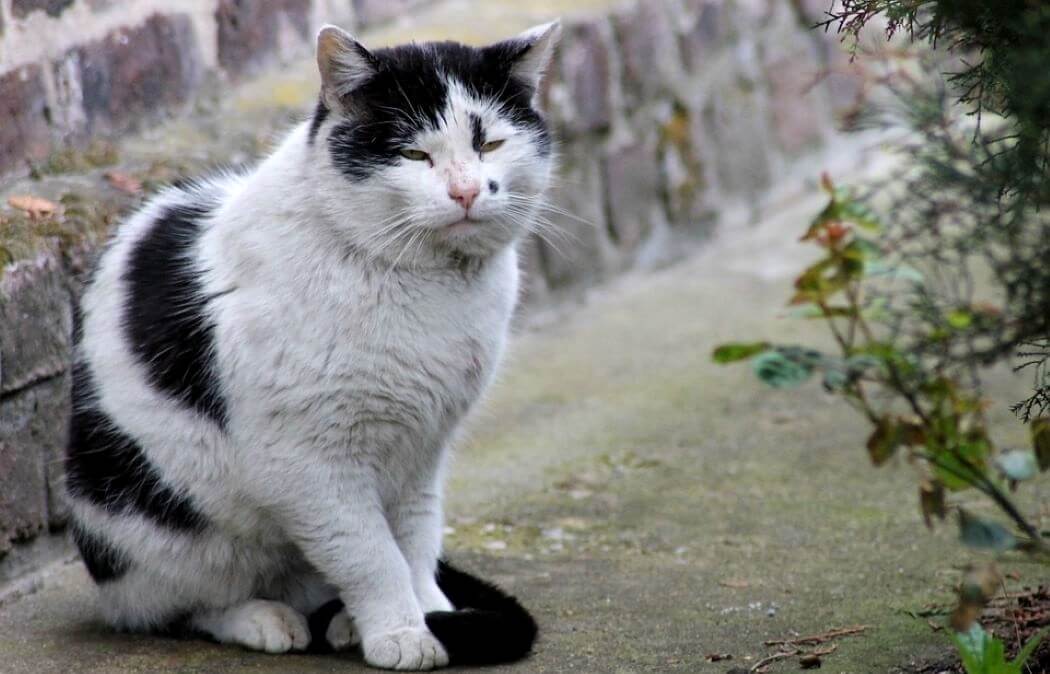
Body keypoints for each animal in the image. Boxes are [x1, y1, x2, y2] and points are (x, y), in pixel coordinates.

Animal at [62, 19, 562, 667]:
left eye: (491, 146)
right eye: (414, 154)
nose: (466, 192)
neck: (433, 286)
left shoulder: (423, 453)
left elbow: (416, 543)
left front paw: (433, 615)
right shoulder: (309, 465)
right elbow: (371, 555)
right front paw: (402, 633)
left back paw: (347, 620)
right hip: (157, 532)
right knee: (170, 609)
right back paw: (264, 619)